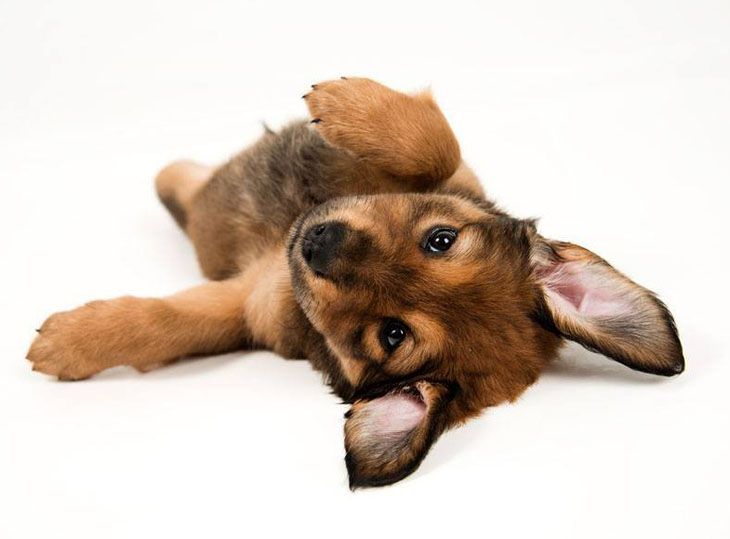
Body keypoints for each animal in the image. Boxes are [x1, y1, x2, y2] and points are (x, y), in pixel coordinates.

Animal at [24, 79, 684, 490]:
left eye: (392, 335)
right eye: (440, 239)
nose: (318, 244)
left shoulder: (243, 306)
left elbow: (168, 324)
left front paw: (70, 343)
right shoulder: (457, 174)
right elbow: (435, 143)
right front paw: (350, 105)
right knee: (185, 180)